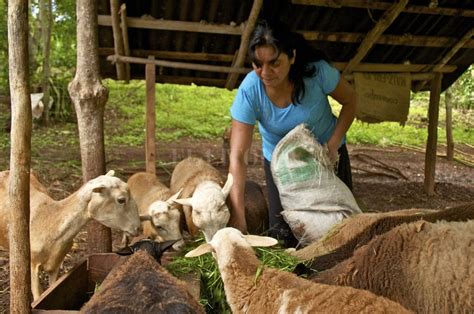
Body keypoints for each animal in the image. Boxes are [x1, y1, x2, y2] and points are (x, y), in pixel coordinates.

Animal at [0, 169, 142, 300]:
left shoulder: (56, 263)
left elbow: (51, 288)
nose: (138, 228)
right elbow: (38, 295)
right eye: (121, 200)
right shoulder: (33, 263)